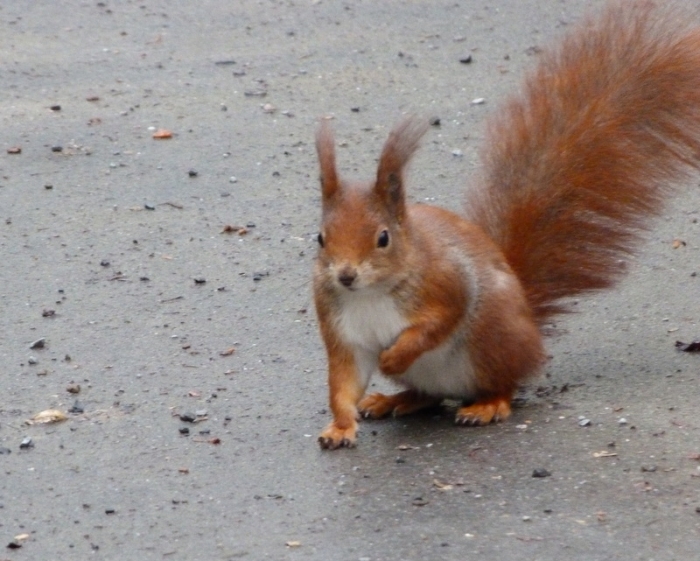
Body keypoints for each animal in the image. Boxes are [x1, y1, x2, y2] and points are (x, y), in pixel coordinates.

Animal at [313, 1, 700, 449]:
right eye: (320, 237)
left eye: (383, 238)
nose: (345, 275)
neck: (370, 293)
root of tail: (529, 326)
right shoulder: (340, 327)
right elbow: (343, 382)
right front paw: (340, 426)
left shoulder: (447, 283)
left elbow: (437, 323)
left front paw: (394, 356)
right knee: (429, 395)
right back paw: (393, 400)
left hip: (490, 339)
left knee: (504, 384)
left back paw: (486, 405)